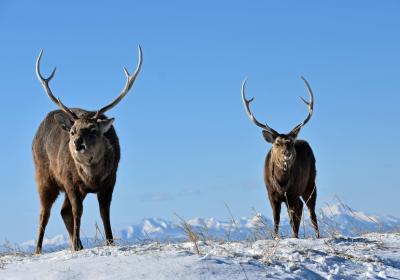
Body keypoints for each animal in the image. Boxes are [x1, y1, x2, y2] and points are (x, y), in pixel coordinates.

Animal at [32, 46, 142, 254]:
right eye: (73, 131)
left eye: (93, 129)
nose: (77, 143)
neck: (92, 178)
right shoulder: (71, 182)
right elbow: (78, 211)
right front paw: (76, 244)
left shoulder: (111, 180)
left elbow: (104, 212)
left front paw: (110, 242)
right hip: (43, 176)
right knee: (45, 213)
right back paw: (39, 249)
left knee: (63, 211)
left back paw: (78, 244)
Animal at [242, 76, 320, 238]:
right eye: (277, 143)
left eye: (291, 142)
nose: (287, 153)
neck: (282, 182)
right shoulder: (271, 195)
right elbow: (276, 219)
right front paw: (276, 237)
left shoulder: (293, 193)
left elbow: (293, 220)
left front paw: (294, 237)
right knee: (301, 208)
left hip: (310, 183)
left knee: (311, 212)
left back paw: (317, 235)